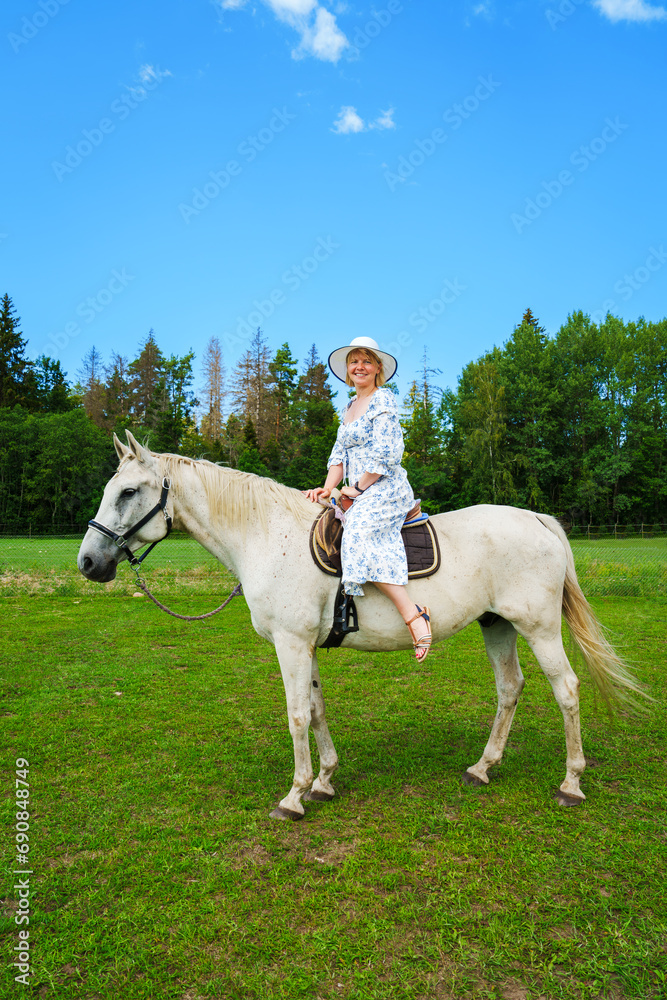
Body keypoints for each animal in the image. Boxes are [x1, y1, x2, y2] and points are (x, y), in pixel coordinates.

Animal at [77, 431, 643, 819]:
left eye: (128, 492)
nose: (88, 562)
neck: (266, 534)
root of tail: (537, 519)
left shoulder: (290, 644)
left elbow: (296, 716)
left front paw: (294, 796)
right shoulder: (305, 645)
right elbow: (316, 710)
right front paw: (323, 781)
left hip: (539, 628)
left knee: (566, 690)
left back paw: (571, 783)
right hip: (497, 625)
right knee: (510, 688)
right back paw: (483, 768)